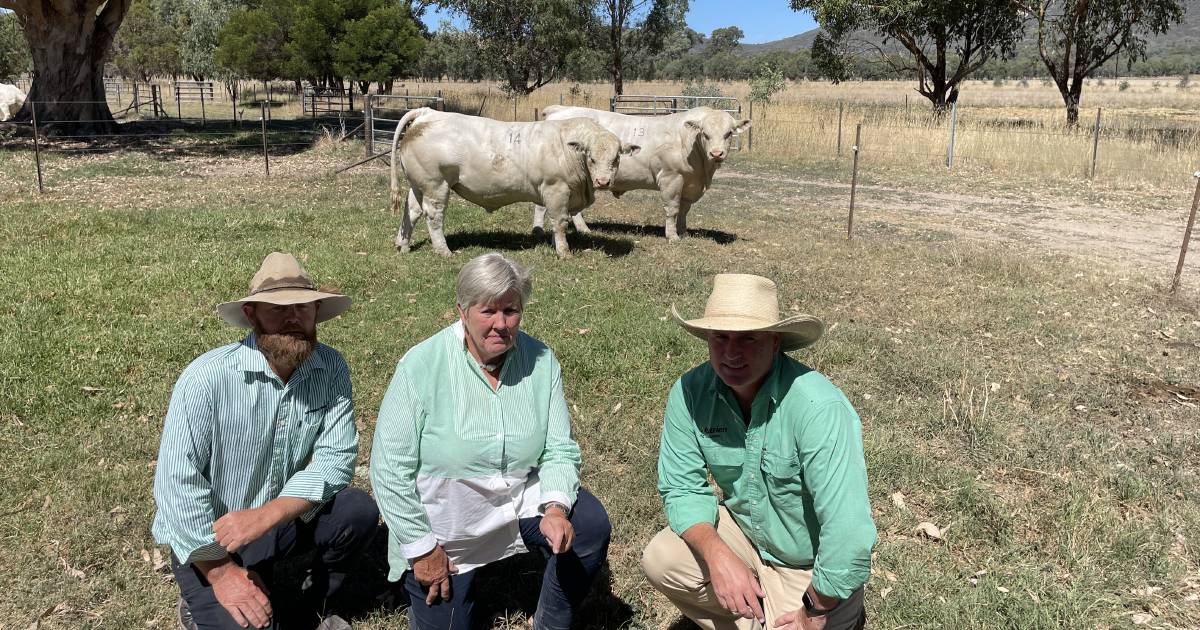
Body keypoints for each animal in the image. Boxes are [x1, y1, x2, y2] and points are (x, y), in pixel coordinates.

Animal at [391, 108, 638, 258]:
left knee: (412, 210)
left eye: (616, 158)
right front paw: (564, 252)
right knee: (434, 215)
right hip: (436, 184)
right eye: (591, 157)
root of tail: (427, 113)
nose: (603, 181)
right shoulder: (556, 189)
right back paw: (443, 251)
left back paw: (403, 245)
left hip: (419, 184)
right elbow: (560, 221)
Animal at [535, 104, 748, 240]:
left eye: (729, 133)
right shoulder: (671, 178)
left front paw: (684, 232)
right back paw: (538, 230)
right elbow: (673, 209)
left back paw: (583, 229)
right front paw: (672, 236)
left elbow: (684, 210)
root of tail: (558, 109)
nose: (716, 153)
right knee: (541, 206)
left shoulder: (690, 183)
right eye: (705, 134)